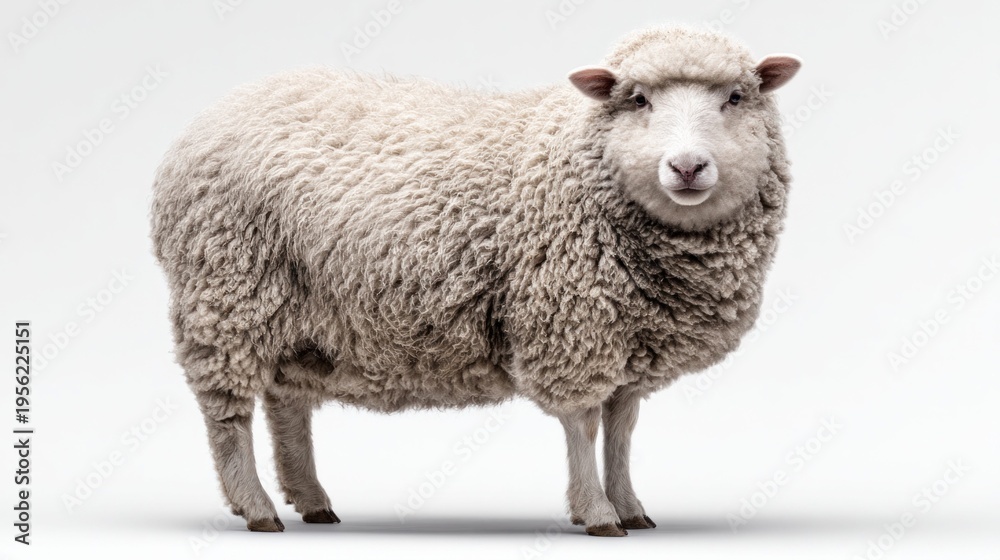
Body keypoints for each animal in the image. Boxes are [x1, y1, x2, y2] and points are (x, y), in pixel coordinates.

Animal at [150, 24, 801, 537]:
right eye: (637, 99)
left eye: (736, 97)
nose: (687, 166)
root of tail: (211, 116)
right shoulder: (569, 326)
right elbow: (584, 426)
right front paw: (596, 512)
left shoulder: (629, 339)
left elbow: (621, 430)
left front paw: (631, 506)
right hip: (227, 290)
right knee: (227, 413)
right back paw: (256, 506)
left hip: (298, 310)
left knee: (287, 401)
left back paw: (310, 500)